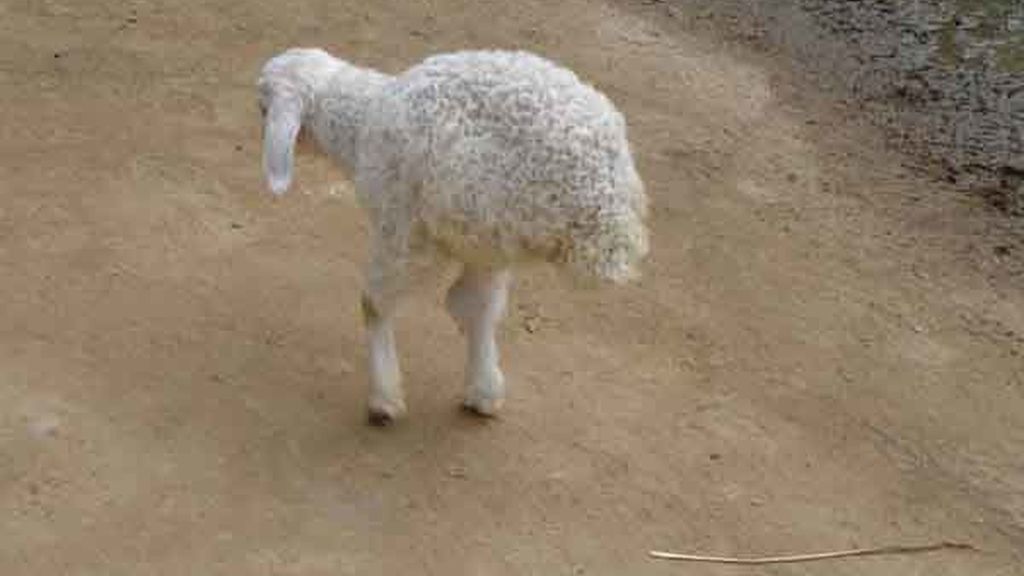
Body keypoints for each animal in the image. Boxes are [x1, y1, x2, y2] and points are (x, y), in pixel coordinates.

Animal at [258, 48, 649, 425]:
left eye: (262, 105)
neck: (361, 122)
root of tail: (610, 204)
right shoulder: (483, 246)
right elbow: (475, 306)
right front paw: (484, 390)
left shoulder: (400, 226)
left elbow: (374, 303)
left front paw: (384, 399)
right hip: (492, 225)